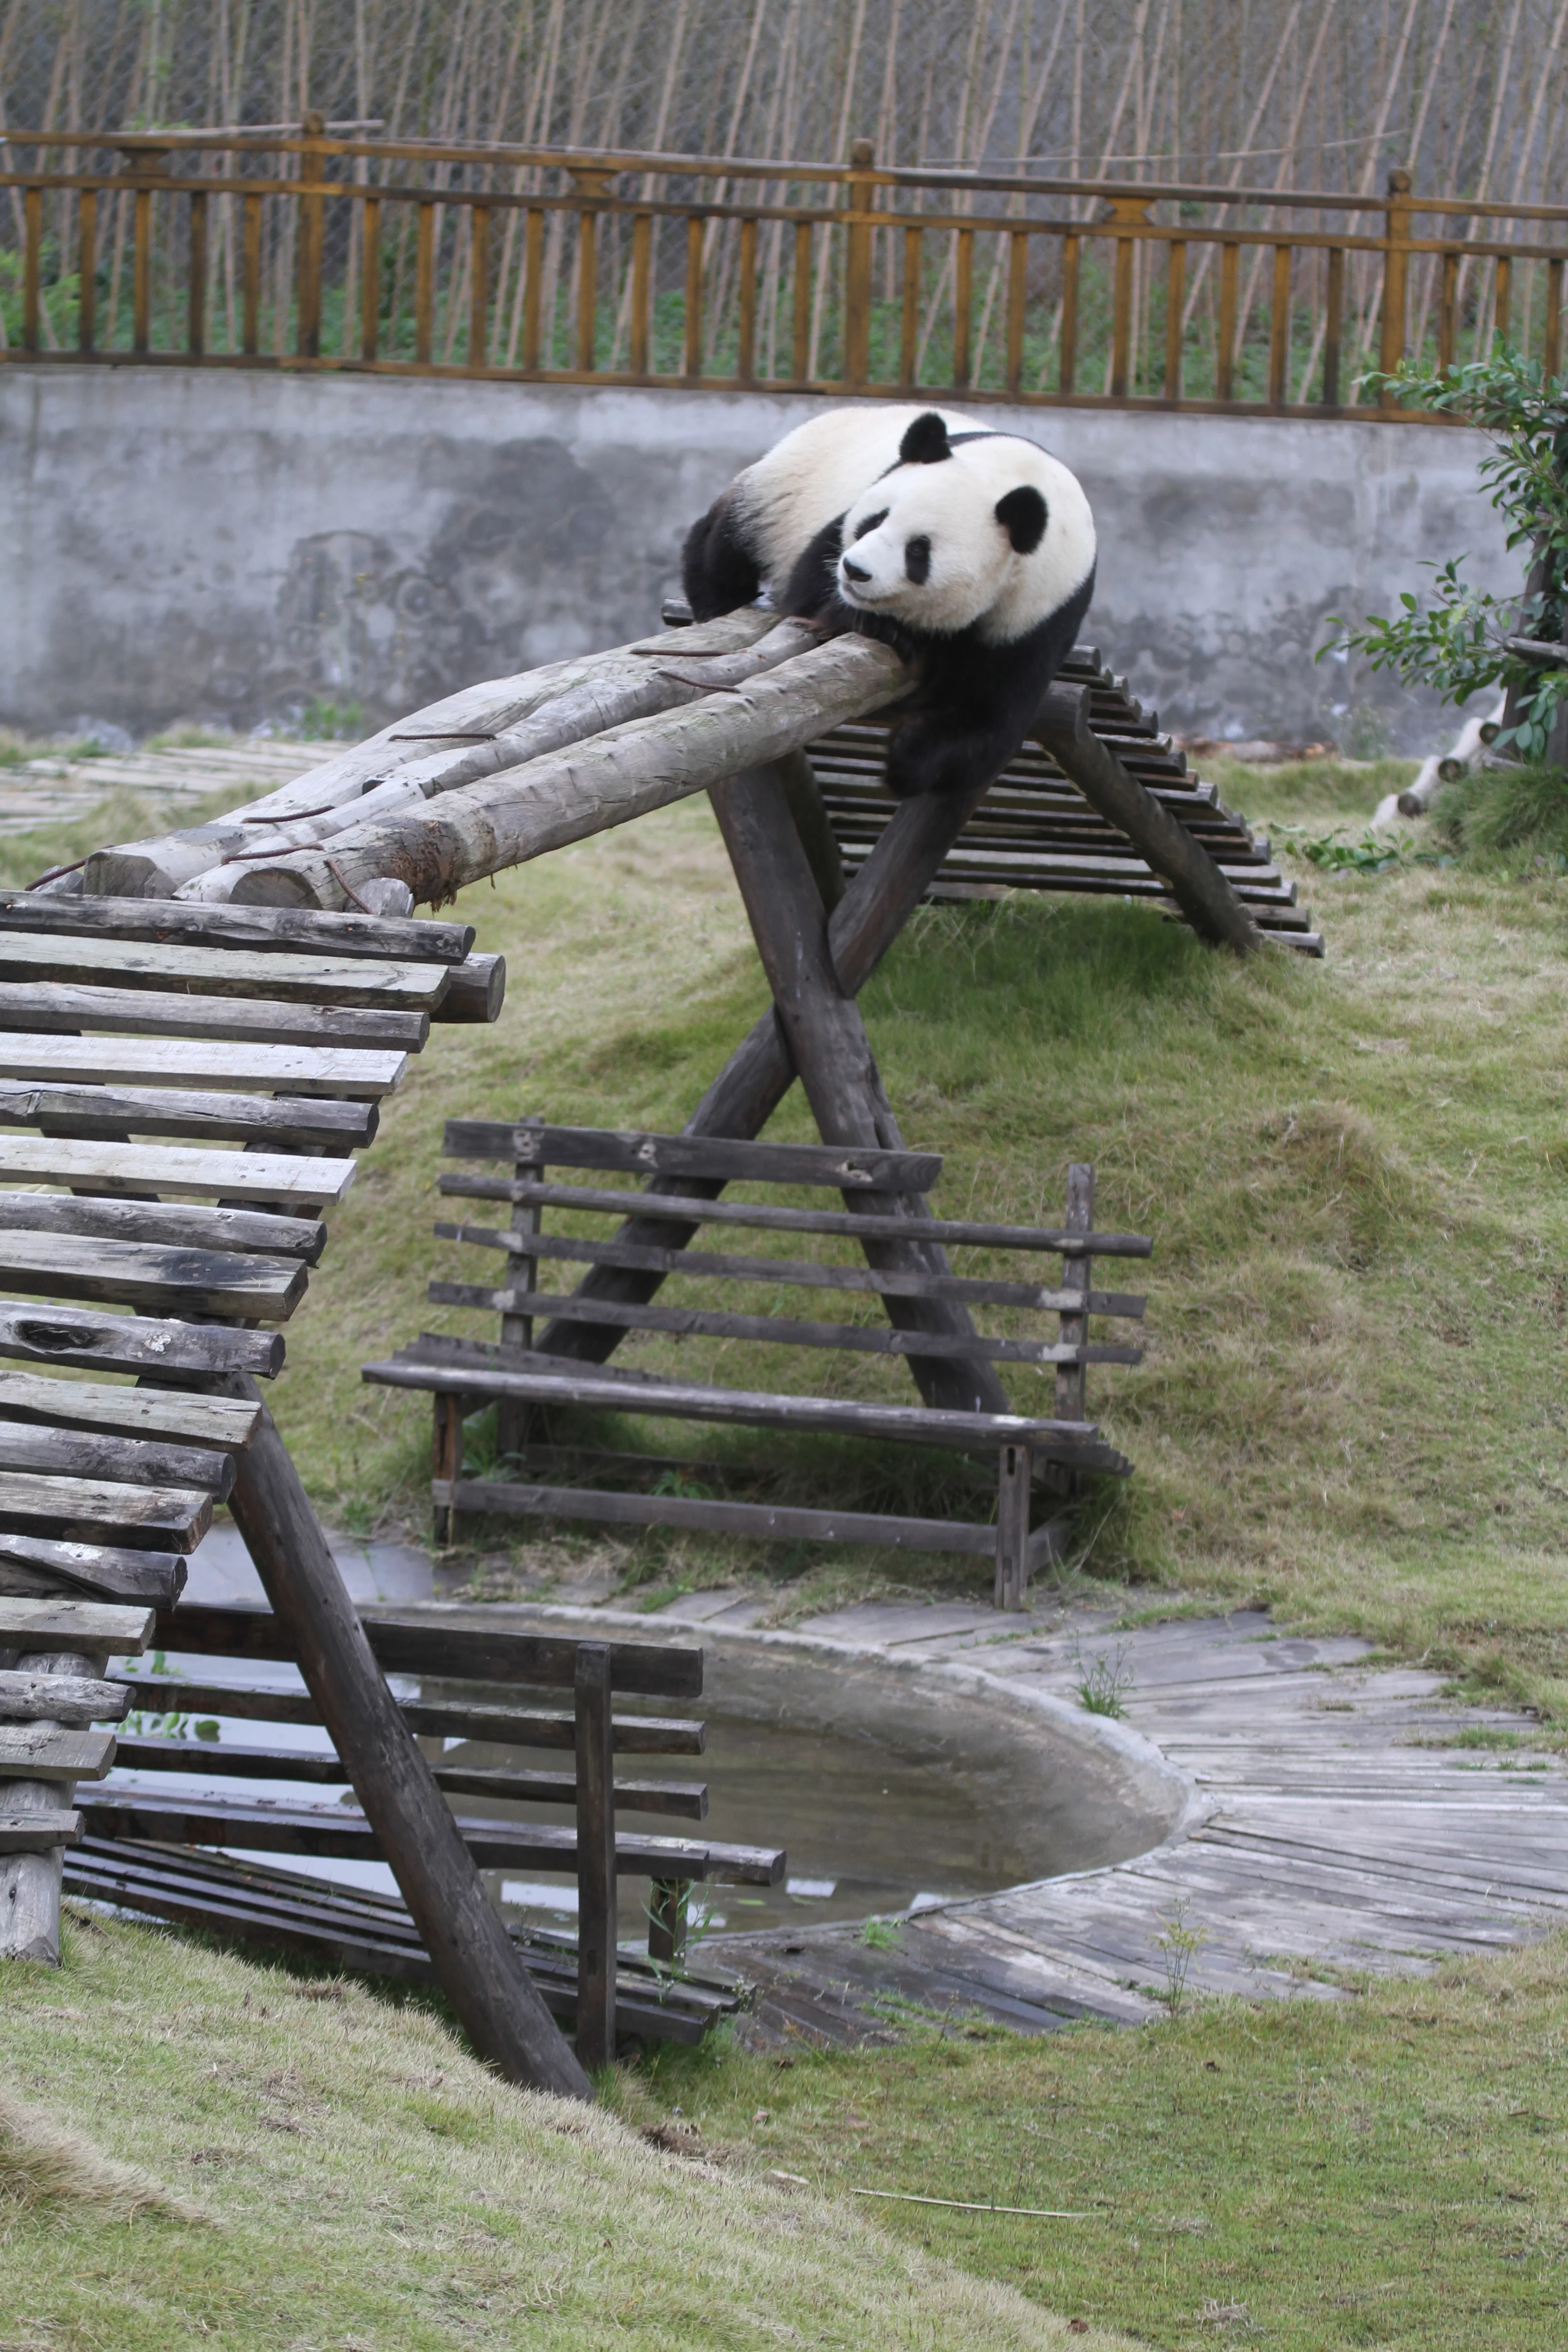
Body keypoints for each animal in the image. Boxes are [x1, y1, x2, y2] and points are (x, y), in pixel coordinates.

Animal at [681, 404, 1096, 799]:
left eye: (918, 550)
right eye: (877, 519)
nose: (855, 571)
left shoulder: (1041, 611)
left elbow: (991, 713)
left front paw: (909, 759)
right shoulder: (846, 515)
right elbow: (808, 587)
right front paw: (874, 624)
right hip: (787, 488)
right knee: (730, 536)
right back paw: (716, 597)